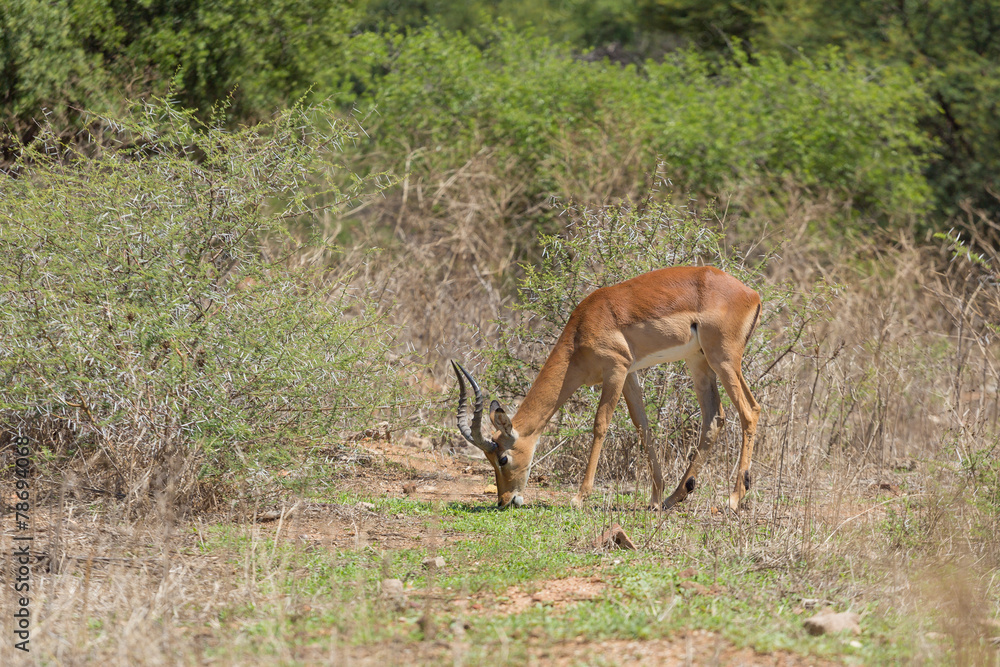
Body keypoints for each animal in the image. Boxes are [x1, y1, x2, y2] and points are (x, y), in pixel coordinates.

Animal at [452, 266, 762, 511]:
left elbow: (600, 424)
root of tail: (752, 293)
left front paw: (579, 497)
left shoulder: (615, 369)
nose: (504, 501)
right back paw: (674, 497)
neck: (580, 332)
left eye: (503, 458)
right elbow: (643, 427)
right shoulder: (630, 374)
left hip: (723, 359)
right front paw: (654, 497)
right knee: (714, 419)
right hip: (699, 361)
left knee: (750, 410)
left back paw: (734, 498)